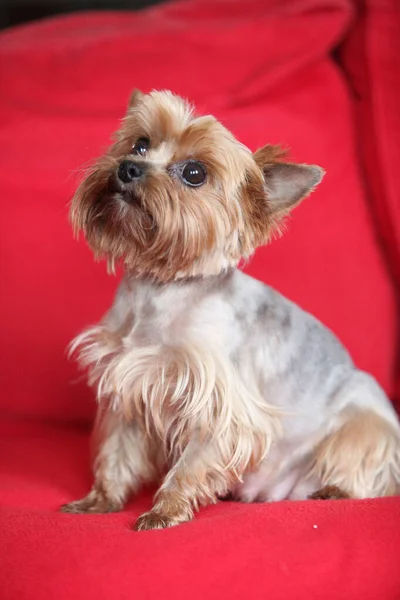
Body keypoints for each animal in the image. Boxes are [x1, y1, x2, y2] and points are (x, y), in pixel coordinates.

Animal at [60, 88, 400, 528]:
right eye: (140, 144)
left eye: (194, 173)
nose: (129, 167)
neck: (162, 285)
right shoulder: (126, 386)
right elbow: (116, 451)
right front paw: (101, 500)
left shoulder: (222, 407)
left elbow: (191, 463)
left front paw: (164, 511)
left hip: (363, 426)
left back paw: (333, 492)